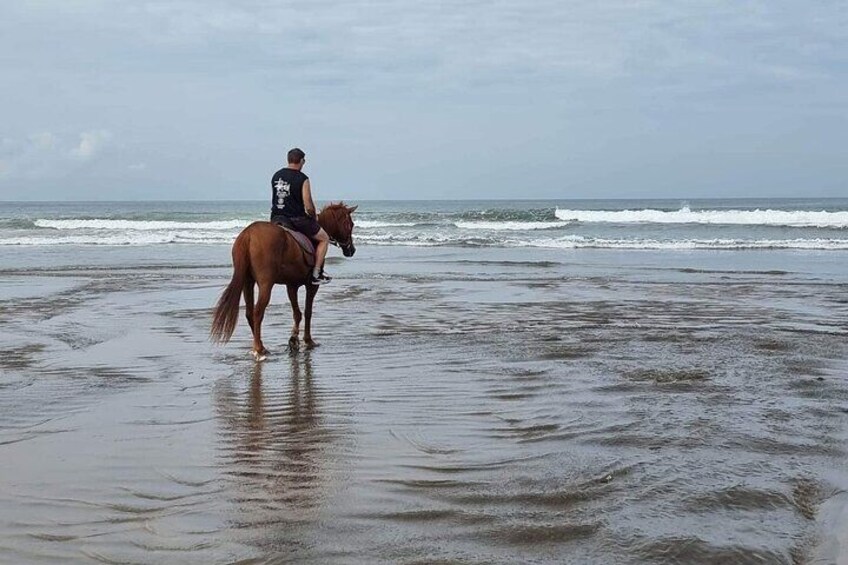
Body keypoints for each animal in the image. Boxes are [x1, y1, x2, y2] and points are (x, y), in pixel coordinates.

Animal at [211, 203, 358, 360]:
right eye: (351, 224)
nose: (351, 250)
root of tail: (248, 234)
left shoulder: (291, 285)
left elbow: (297, 313)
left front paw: (294, 339)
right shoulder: (311, 286)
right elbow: (308, 312)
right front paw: (308, 340)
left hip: (247, 282)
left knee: (250, 313)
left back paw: (259, 345)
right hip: (266, 284)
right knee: (257, 312)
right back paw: (259, 349)